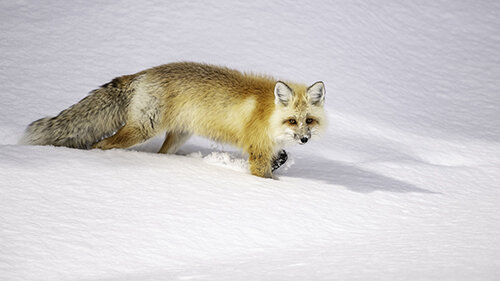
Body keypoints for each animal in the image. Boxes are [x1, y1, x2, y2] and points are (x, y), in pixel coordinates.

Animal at [21, 62, 326, 177]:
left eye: (309, 120)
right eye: (292, 121)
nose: (304, 139)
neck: (267, 113)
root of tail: (142, 73)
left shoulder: (269, 146)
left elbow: (281, 157)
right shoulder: (258, 150)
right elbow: (264, 175)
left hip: (178, 135)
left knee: (162, 153)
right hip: (140, 130)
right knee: (102, 144)